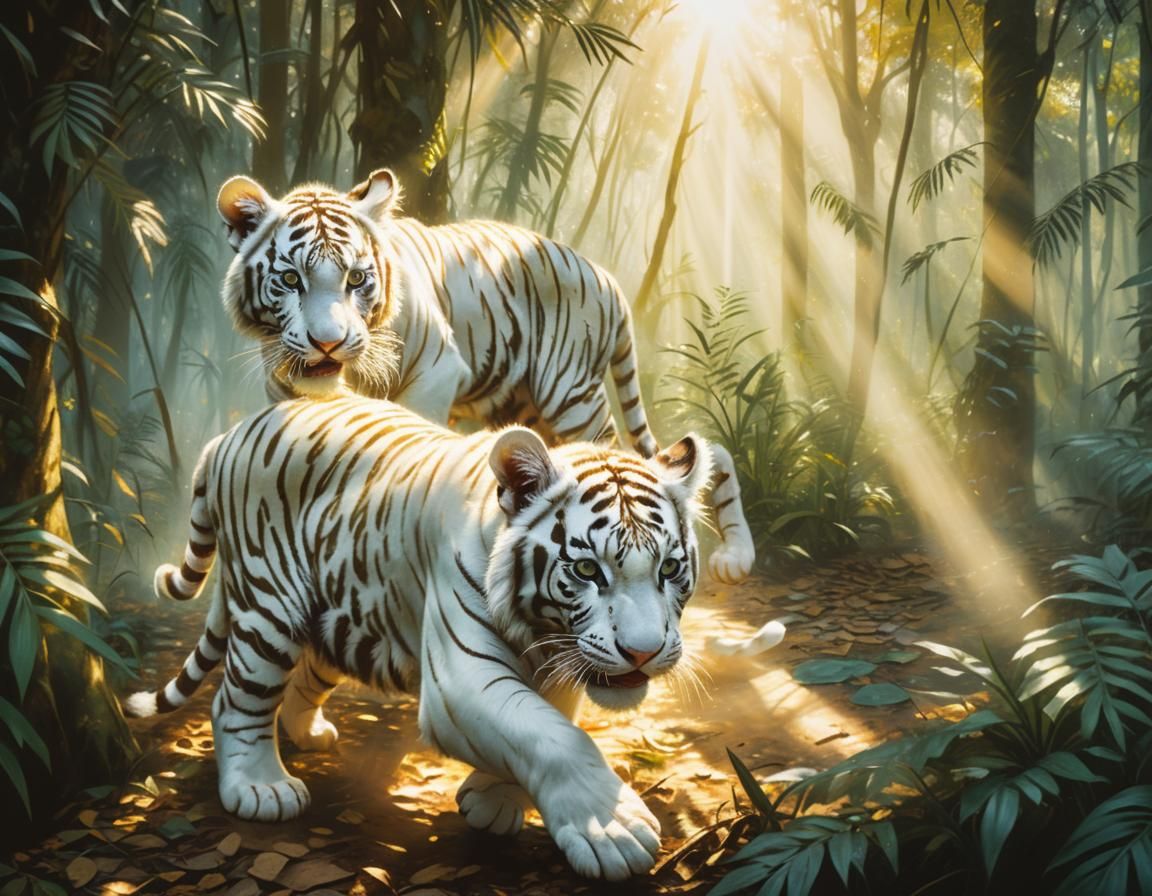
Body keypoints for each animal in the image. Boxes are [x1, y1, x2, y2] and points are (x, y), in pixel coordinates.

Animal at [125, 396, 713, 881]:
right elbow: (551, 735)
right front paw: (612, 827)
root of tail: (232, 433)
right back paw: (259, 786)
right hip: (271, 605)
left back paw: (310, 733)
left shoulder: (558, 665)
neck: (542, 632)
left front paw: (492, 801)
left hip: (337, 609)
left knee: (307, 675)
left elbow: (542, 722)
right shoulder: (460, 679)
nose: (642, 652)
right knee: (236, 698)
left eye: (669, 568)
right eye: (588, 569)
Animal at [215, 169, 755, 584]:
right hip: (529, 409)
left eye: (357, 278)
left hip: (572, 396)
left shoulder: (436, 374)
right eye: (290, 279)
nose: (328, 342)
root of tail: (606, 278)